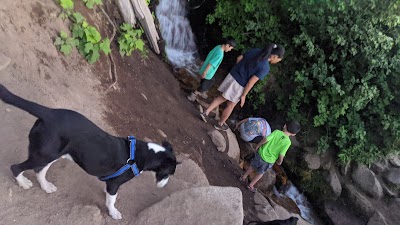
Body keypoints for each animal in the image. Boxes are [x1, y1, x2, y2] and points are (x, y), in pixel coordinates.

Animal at [0, 83, 178, 219]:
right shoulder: (115, 183)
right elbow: (112, 201)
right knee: (17, 167)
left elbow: (109, 195)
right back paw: (23, 182)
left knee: (39, 170)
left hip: (51, 153)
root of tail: (49, 112)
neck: (142, 153)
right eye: (168, 173)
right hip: (45, 154)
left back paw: (45, 186)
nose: (164, 185)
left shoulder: (110, 184)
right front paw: (114, 212)